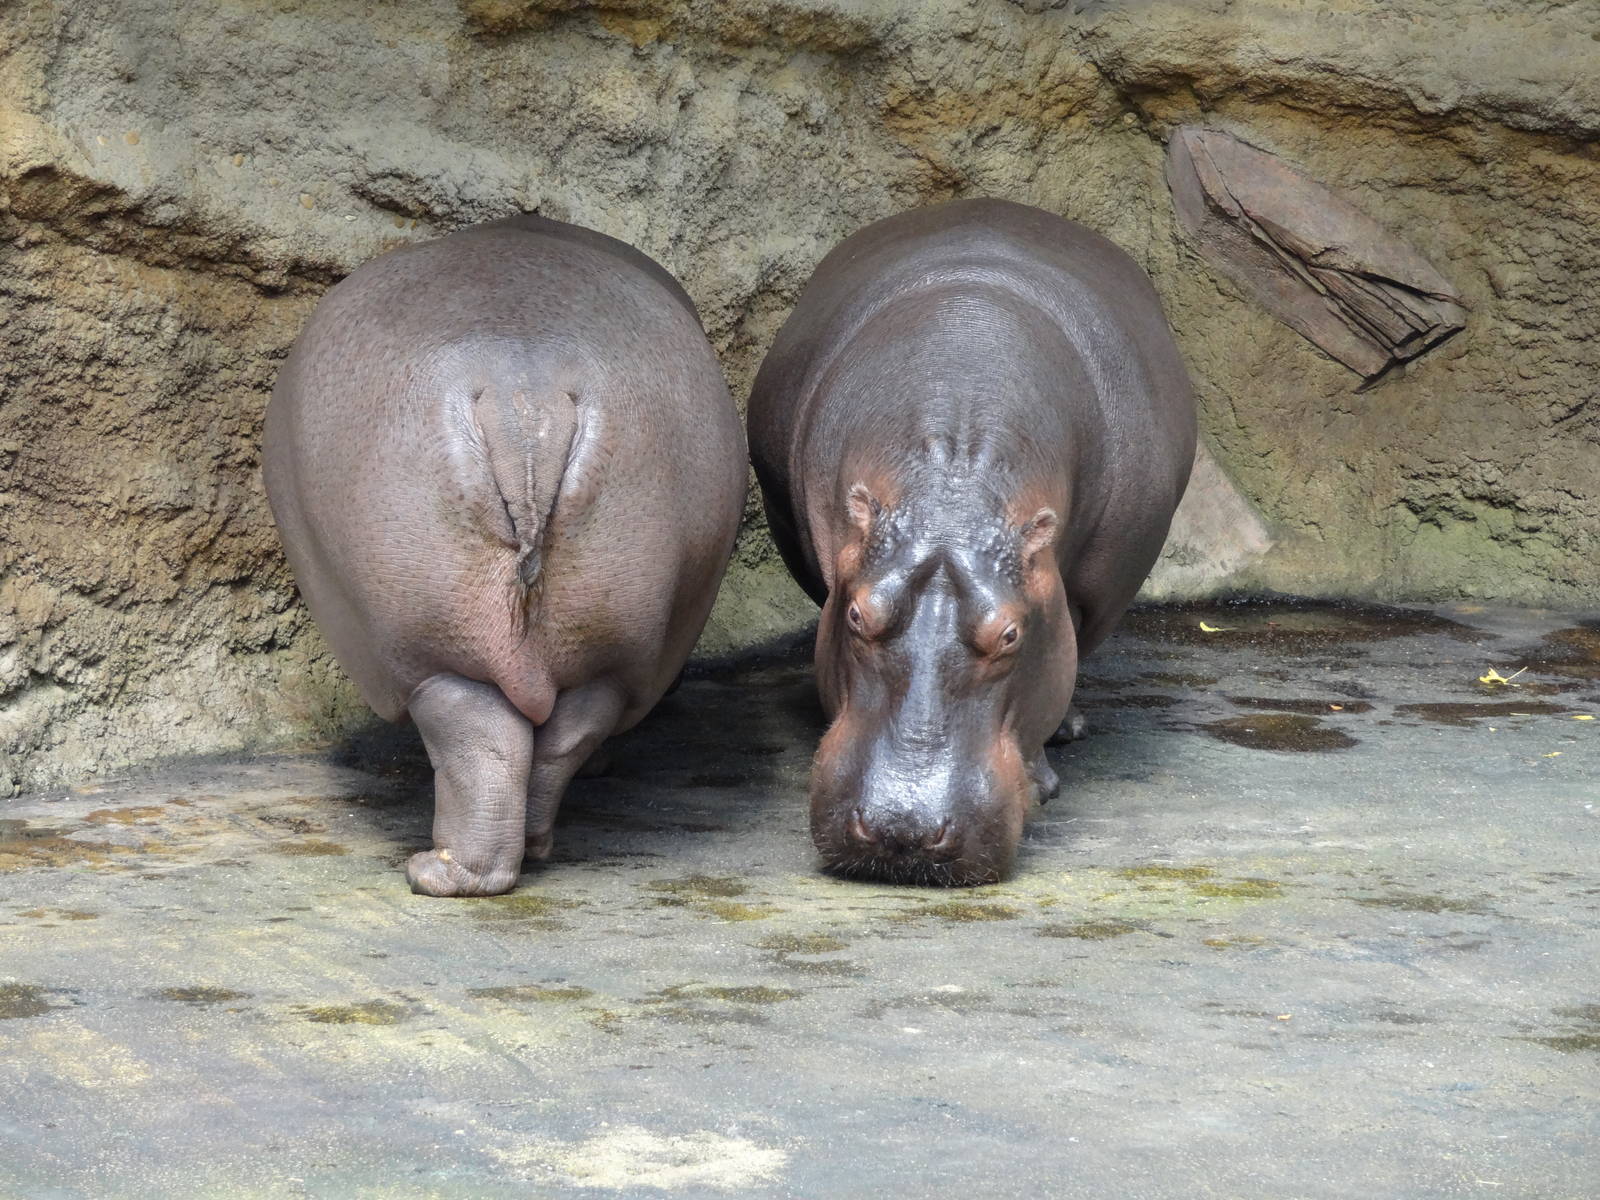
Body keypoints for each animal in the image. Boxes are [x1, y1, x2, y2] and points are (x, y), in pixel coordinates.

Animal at [264, 215, 745, 897]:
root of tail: (524, 399)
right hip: (605, 639)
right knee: (564, 735)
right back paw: (532, 843)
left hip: (432, 645)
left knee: (478, 737)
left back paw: (434, 872)